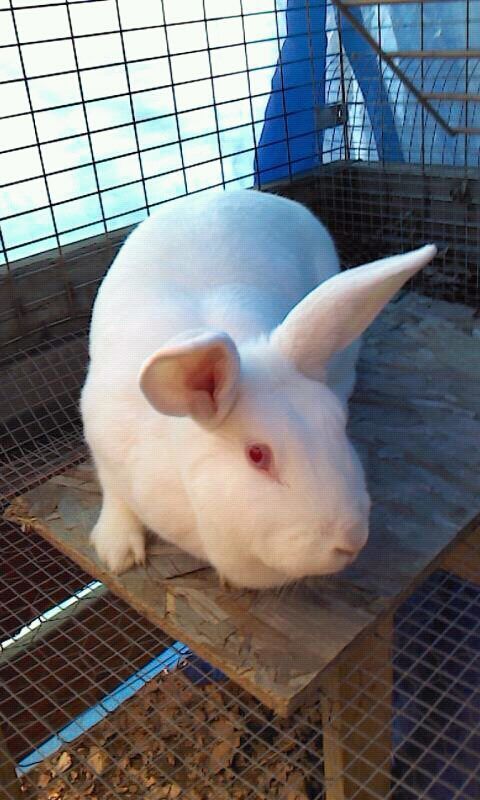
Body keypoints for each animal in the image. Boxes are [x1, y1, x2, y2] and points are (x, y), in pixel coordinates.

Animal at [80, 189, 436, 590]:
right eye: (256, 455)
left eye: (340, 426)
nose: (351, 540)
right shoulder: (103, 445)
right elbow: (115, 494)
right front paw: (116, 550)